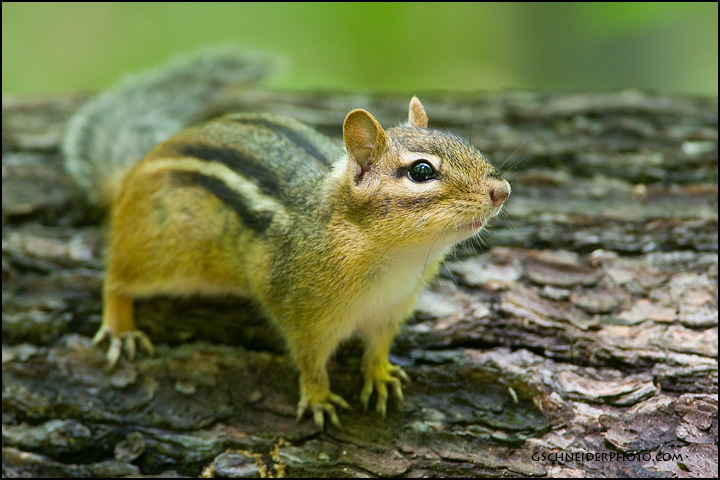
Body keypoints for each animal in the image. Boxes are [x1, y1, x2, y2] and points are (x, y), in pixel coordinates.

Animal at [63, 47, 511, 429]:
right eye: (421, 171)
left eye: (466, 143)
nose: (502, 190)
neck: (396, 259)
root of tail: (130, 177)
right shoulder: (302, 314)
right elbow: (309, 360)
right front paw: (318, 398)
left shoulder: (391, 310)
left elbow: (378, 347)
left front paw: (380, 375)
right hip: (164, 259)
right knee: (116, 279)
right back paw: (120, 328)